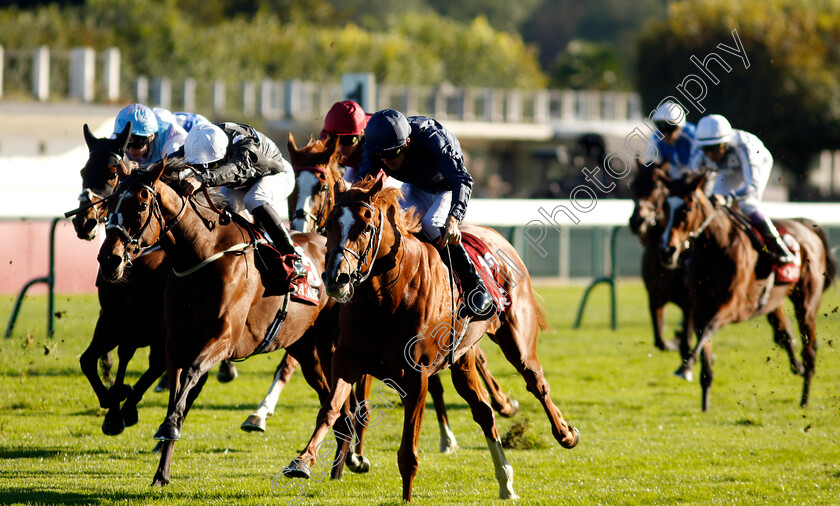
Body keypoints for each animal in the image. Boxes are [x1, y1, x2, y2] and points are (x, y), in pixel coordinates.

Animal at [98, 158, 344, 486]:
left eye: (141, 204)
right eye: (111, 202)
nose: (108, 259)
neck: (202, 254)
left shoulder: (222, 339)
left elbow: (190, 375)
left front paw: (167, 427)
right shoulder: (176, 343)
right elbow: (177, 389)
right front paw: (162, 470)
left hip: (331, 346)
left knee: (341, 399)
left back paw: (319, 461)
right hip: (306, 349)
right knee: (330, 396)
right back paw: (341, 463)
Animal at [240, 135, 520, 450]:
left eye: (322, 187)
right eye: (293, 189)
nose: (299, 228)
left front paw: (356, 448)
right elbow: (297, 369)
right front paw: (260, 413)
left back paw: (492, 409)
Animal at [282, 176, 576, 500]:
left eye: (367, 226)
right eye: (331, 223)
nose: (336, 278)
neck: (385, 297)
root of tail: (498, 239)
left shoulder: (416, 374)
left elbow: (408, 451)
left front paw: (406, 497)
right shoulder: (347, 359)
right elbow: (331, 409)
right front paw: (302, 461)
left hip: (517, 339)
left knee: (536, 382)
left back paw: (565, 434)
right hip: (462, 358)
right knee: (483, 410)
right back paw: (506, 482)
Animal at [628, 165, 692, 352]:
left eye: (656, 186)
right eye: (632, 185)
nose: (637, 221)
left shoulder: (690, 303)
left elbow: (687, 339)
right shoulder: (654, 298)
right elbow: (660, 341)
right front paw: (672, 343)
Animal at [664, 172, 832, 410]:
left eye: (687, 208)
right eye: (665, 207)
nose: (667, 251)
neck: (715, 249)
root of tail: (806, 225)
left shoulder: (734, 307)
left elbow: (709, 329)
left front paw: (685, 368)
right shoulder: (699, 307)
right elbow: (704, 341)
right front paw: (704, 402)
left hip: (806, 303)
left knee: (809, 348)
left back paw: (805, 399)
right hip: (774, 300)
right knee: (784, 333)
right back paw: (797, 368)